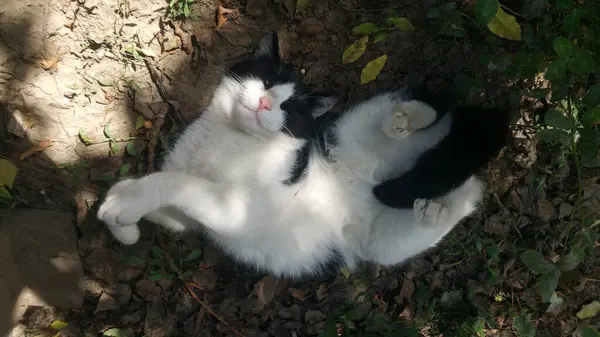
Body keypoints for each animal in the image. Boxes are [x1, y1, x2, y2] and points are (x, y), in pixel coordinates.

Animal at [96, 30, 508, 276]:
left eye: (289, 107)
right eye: (266, 81)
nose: (265, 103)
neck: (227, 138)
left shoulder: (233, 208)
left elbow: (174, 181)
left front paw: (123, 203)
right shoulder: (189, 221)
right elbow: (164, 202)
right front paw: (125, 222)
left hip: (354, 127)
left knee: (433, 109)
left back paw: (405, 120)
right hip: (382, 240)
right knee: (466, 193)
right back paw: (434, 206)